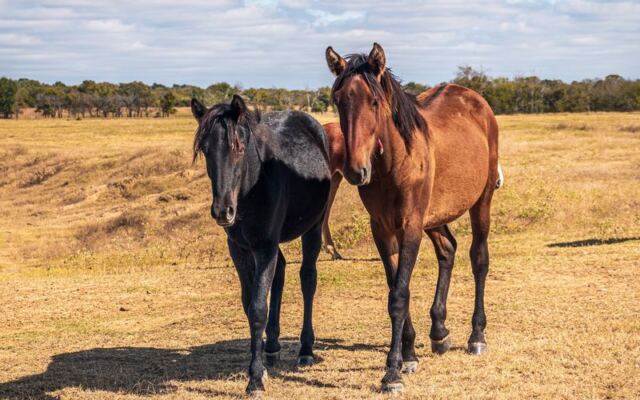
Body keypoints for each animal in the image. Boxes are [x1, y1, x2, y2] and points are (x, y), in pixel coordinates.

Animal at [191, 95, 331, 395]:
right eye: (205, 150)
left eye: (240, 147)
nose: (223, 211)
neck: (253, 186)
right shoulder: (240, 249)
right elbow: (249, 303)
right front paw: (261, 362)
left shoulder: (264, 247)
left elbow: (257, 308)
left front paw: (255, 378)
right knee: (280, 273)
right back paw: (273, 345)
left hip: (313, 229)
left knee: (307, 279)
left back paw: (306, 349)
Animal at [325, 43, 503, 393]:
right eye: (338, 100)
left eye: (374, 101)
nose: (356, 170)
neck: (395, 163)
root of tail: (476, 101)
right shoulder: (383, 230)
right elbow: (396, 287)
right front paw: (408, 356)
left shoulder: (410, 227)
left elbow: (399, 295)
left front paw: (391, 372)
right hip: (434, 217)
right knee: (448, 250)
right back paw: (439, 332)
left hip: (481, 202)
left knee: (479, 259)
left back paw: (476, 336)